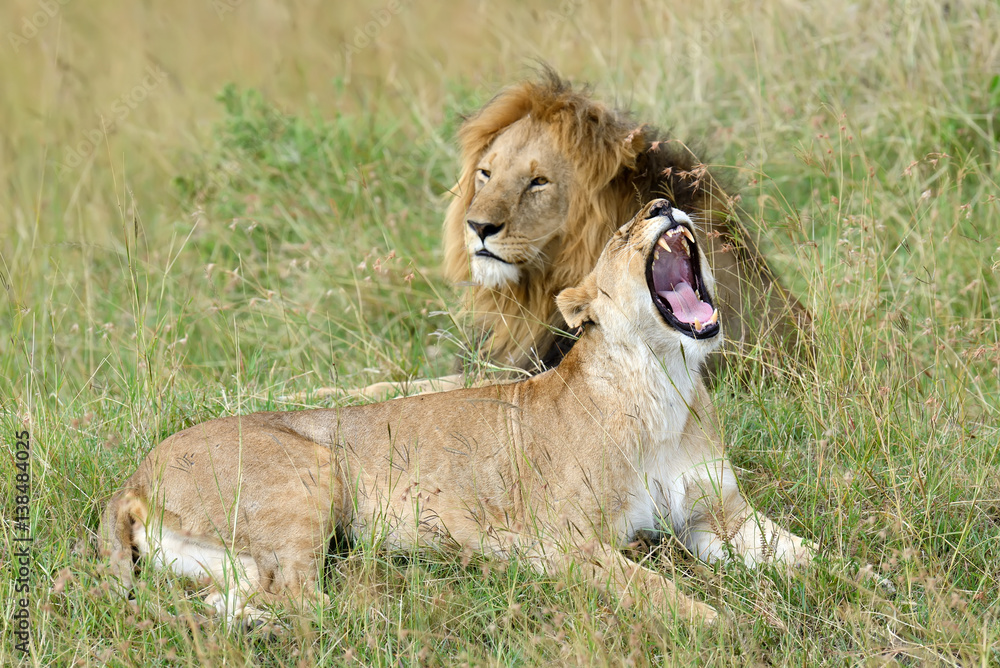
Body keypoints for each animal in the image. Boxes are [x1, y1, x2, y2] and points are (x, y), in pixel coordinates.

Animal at [101, 199, 811, 625]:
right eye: (621, 233)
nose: (664, 205)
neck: (665, 380)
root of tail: (132, 480)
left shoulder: (719, 515)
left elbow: (800, 552)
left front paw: (829, 577)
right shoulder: (563, 541)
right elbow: (649, 586)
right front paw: (717, 623)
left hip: (226, 558)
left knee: (237, 600)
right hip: (311, 470)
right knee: (304, 601)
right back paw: (384, 613)